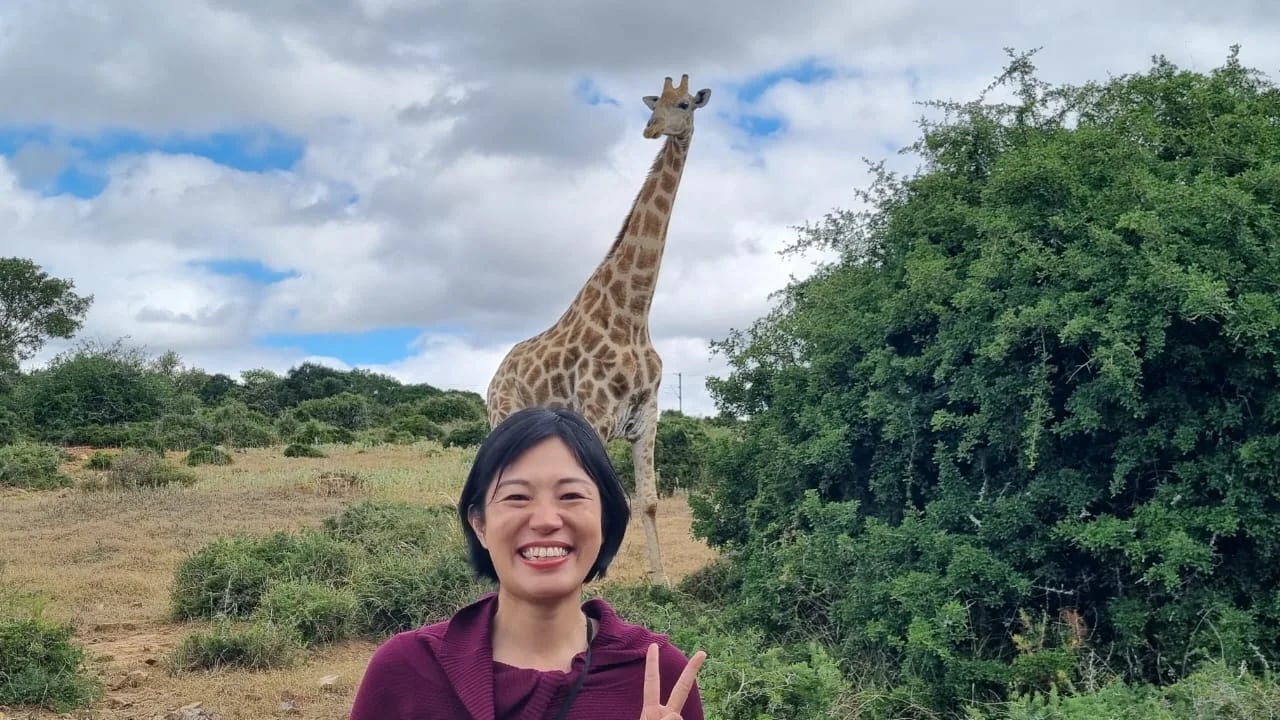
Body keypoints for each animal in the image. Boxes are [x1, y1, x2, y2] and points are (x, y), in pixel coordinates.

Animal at [486, 73, 711, 586]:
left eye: (684, 105)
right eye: (654, 103)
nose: (651, 130)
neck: (634, 313)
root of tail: (495, 375)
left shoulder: (646, 416)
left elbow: (647, 500)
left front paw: (663, 583)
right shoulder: (597, 414)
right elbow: (603, 501)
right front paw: (593, 581)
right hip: (502, 416)